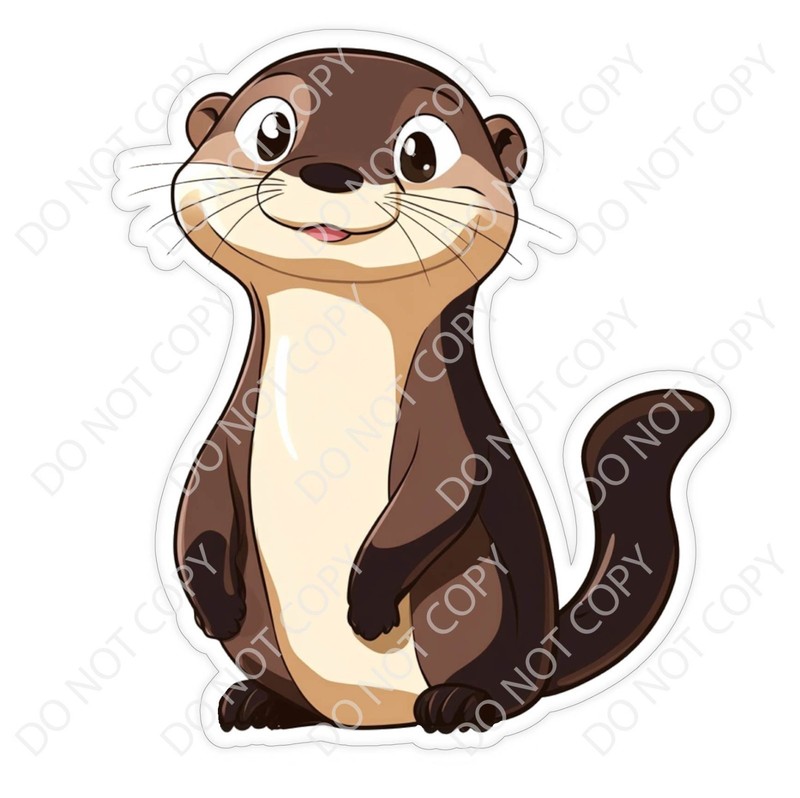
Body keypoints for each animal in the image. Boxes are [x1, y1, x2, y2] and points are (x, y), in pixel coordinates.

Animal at [154, 48, 716, 735]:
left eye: (420, 152)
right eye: (272, 130)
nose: (330, 173)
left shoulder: (446, 424)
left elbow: (440, 491)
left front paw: (368, 602)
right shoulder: (235, 421)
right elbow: (199, 496)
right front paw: (212, 605)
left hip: (478, 605)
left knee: (504, 688)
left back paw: (460, 703)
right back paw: (256, 703)